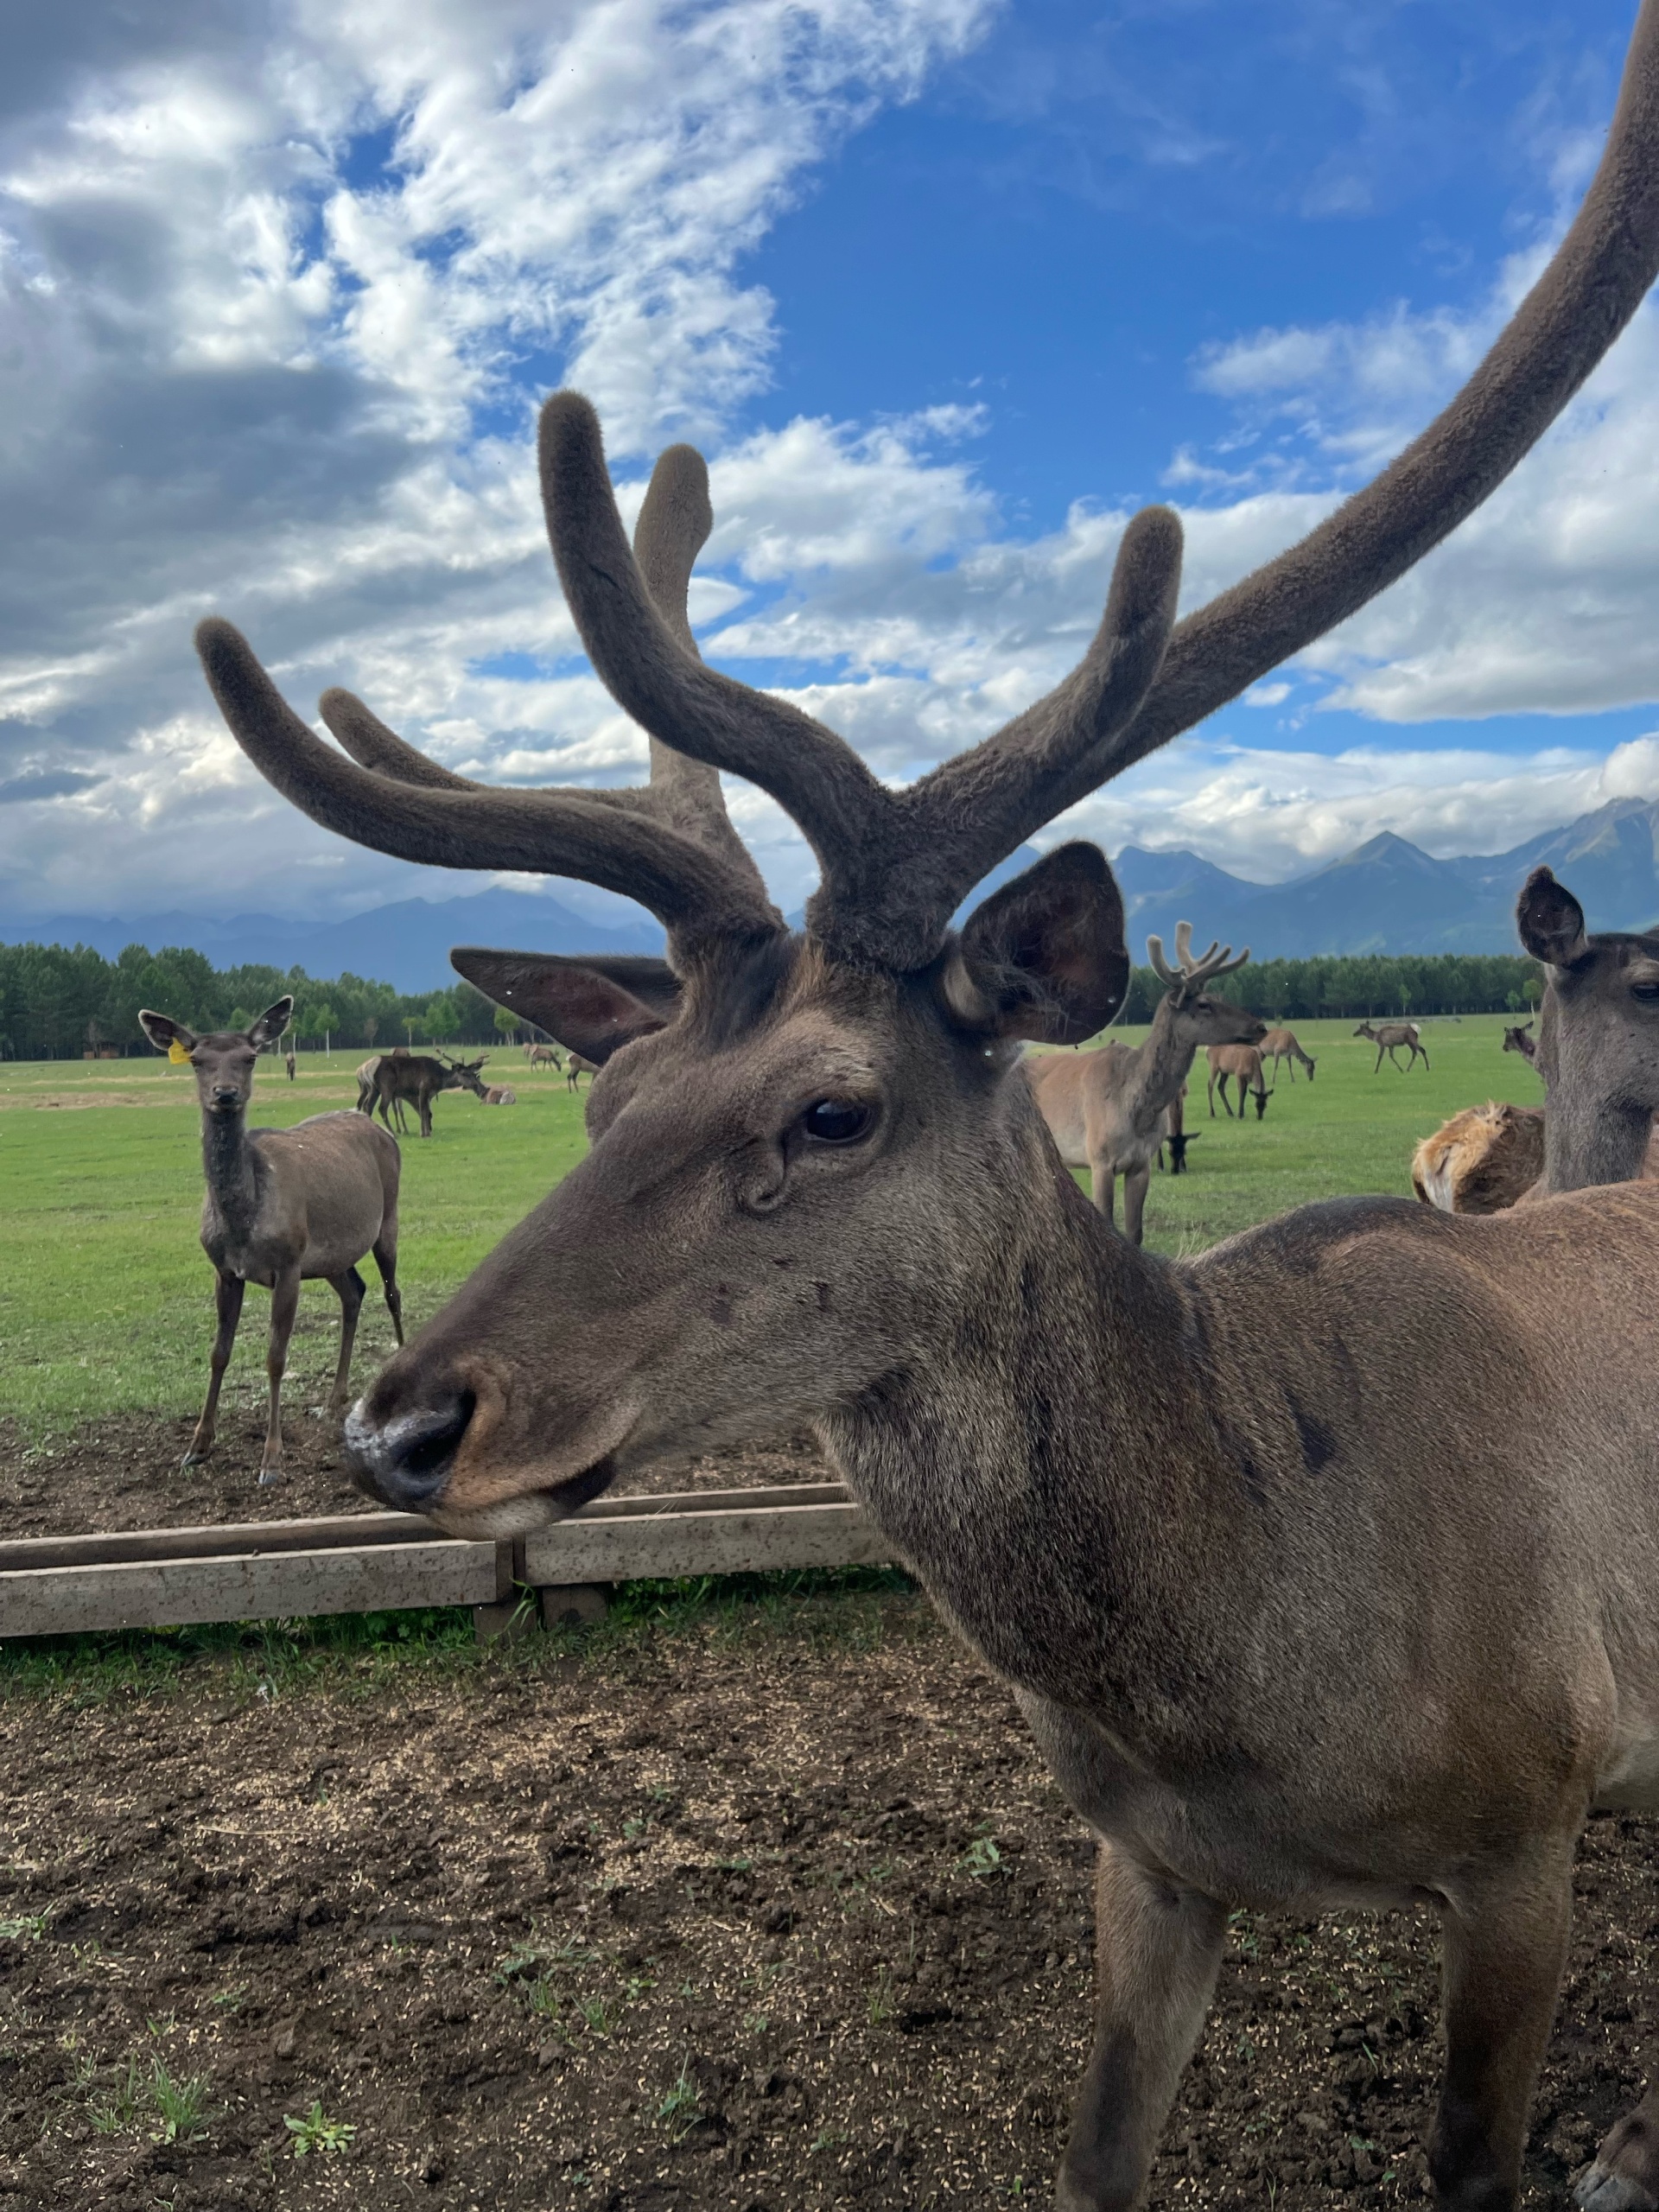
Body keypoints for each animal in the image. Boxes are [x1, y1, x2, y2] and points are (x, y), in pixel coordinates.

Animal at [138, 1004, 404, 1486]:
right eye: (196, 1060)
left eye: (249, 1058)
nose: (225, 1094)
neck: (243, 1222)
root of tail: (381, 1130)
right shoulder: (225, 1270)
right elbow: (218, 1353)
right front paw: (197, 1446)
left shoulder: (289, 1262)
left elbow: (276, 1357)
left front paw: (272, 1460)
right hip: (332, 1256)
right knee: (354, 1292)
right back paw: (333, 1400)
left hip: (388, 1219)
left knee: (393, 1293)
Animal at [1026, 929, 1256, 1247]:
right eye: (1203, 1004)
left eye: (1220, 996)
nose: (1260, 1027)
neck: (1137, 1111)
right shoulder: (1099, 1158)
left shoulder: (1141, 1164)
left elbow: (1135, 1232)